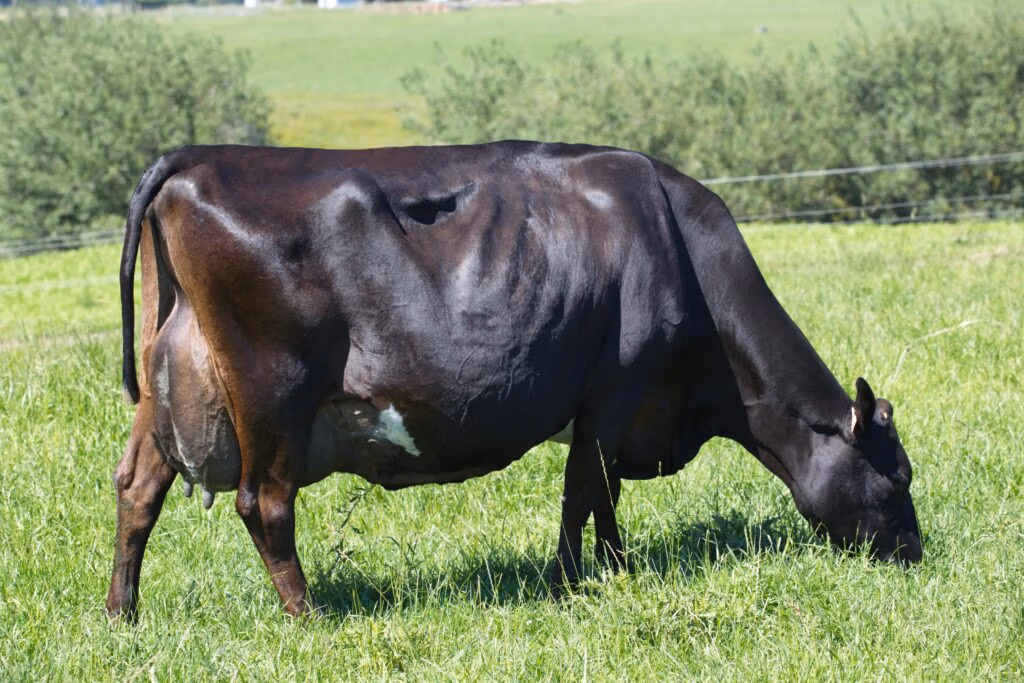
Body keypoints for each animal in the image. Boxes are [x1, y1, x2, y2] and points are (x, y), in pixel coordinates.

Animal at [105, 142, 921, 620]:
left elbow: (602, 493)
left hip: (168, 380)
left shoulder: (612, 406)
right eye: (898, 476)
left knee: (137, 487)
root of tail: (201, 157)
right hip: (274, 388)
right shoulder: (615, 386)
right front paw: (571, 584)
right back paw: (311, 619)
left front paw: (615, 570)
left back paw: (123, 613)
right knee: (265, 503)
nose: (915, 555)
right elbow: (584, 488)